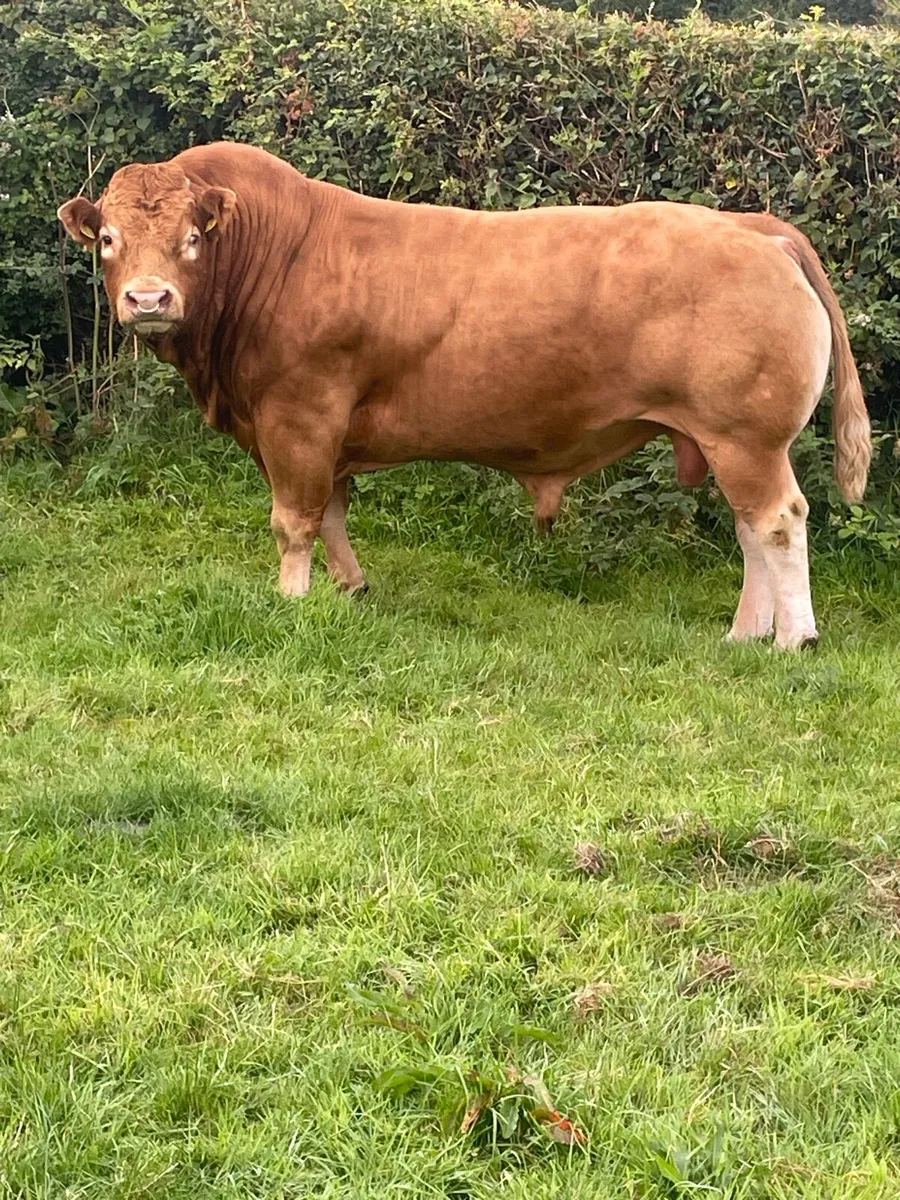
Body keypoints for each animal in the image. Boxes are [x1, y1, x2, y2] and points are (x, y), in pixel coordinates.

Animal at [58, 141, 871, 649]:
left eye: (193, 238)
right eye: (110, 239)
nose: (149, 298)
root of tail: (753, 227)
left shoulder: (298, 418)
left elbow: (295, 521)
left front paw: (290, 601)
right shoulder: (324, 432)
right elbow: (333, 514)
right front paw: (350, 589)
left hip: (746, 436)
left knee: (777, 522)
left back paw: (793, 638)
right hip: (724, 439)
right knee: (749, 529)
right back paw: (745, 632)